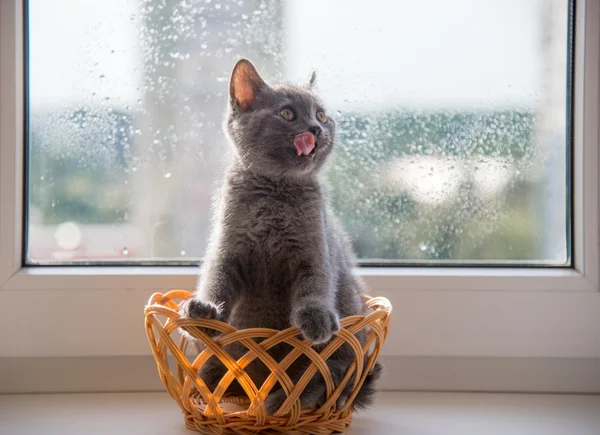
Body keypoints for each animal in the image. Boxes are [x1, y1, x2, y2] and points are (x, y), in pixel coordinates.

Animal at [180, 59, 382, 414]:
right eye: (288, 114)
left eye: (321, 115)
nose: (315, 129)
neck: (276, 191)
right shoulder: (228, 249)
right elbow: (217, 277)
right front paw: (204, 310)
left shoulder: (314, 249)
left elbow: (315, 283)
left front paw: (316, 318)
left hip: (342, 347)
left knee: (328, 376)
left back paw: (280, 402)